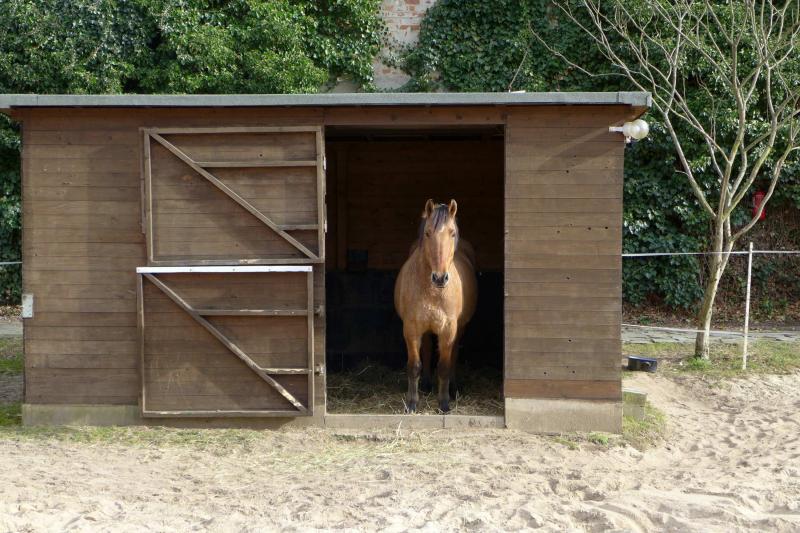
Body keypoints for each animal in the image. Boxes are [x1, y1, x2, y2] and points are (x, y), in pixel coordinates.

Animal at [394, 199, 478, 413]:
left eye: (452, 233)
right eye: (428, 233)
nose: (440, 278)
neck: (433, 291)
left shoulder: (449, 329)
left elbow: (445, 366)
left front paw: (444, 403)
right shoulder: (411, 328)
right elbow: (414, 365)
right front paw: (412, 403)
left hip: (459, 328)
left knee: (454, 354)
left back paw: (453, 388)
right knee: (427, 348)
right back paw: (425, 385)